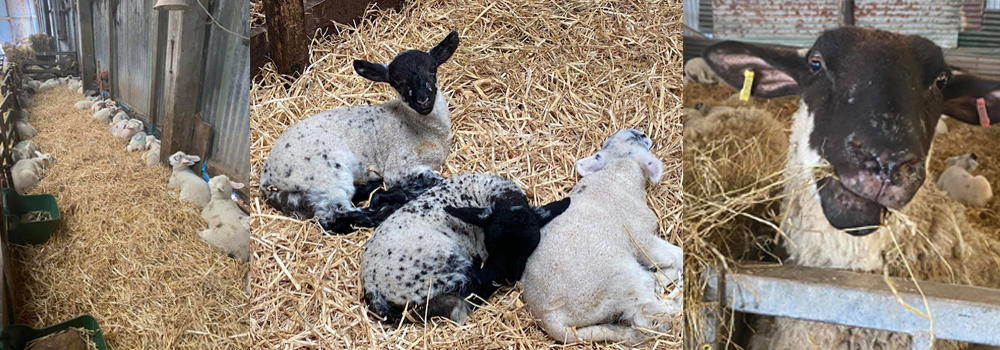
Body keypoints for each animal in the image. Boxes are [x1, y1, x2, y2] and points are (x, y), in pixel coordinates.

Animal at [258, 31, 460, 234]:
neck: (427, 131)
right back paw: (385, 209)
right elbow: (439, 180)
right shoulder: (399, 167)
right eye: (397, 81)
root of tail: (267, 180)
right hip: (326, 176)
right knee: (335, 217)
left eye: (433, 69)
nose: (423, 101)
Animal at [362, 174, 572, 324]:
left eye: (529, 246)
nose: (509, 278)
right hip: (447, 264)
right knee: (474, 288)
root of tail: (372, 288)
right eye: (492, 244)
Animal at [516, 129, 680, 344]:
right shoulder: (642, 239)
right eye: (634, 139)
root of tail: (549, 317)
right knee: (650, 317)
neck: (617, 174)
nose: (642, 133)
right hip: (622, 281)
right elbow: (677, 256)